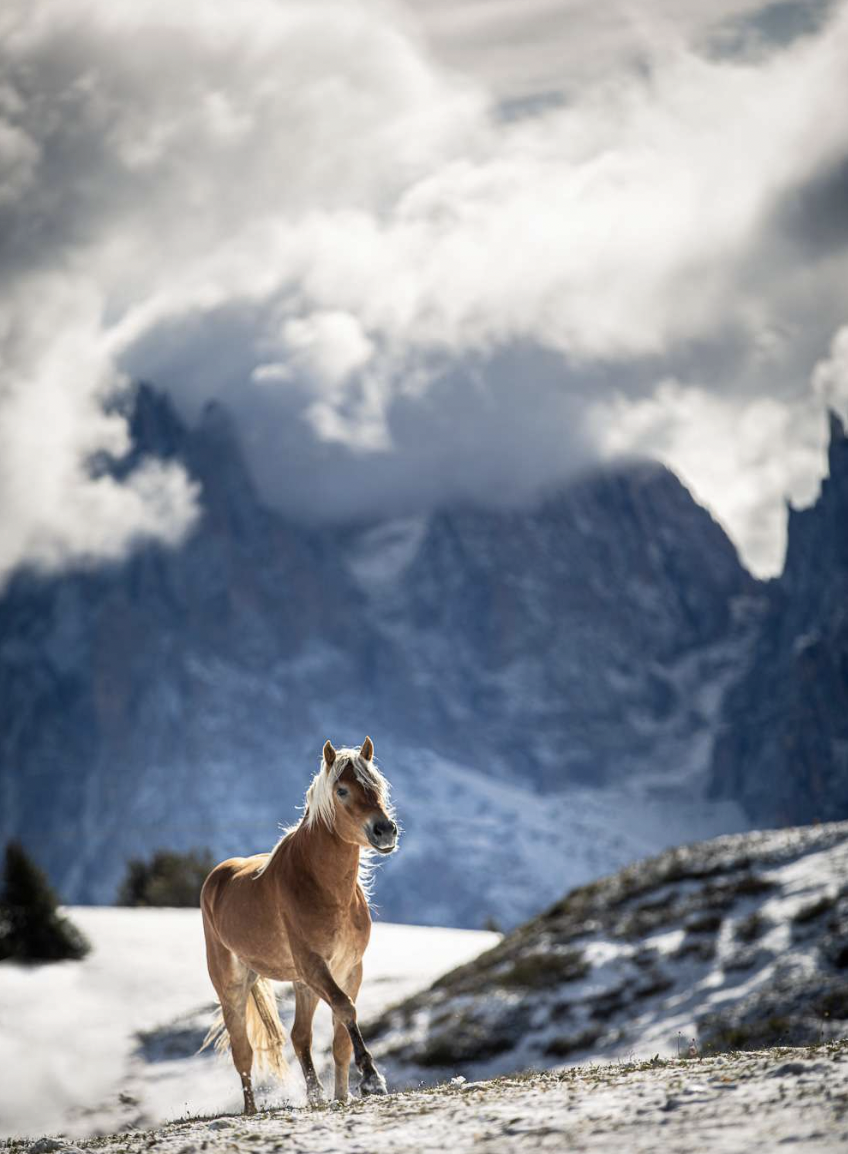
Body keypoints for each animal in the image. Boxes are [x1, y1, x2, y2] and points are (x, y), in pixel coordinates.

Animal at [200, 736, 399, 1114]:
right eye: (342, 790)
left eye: (378, 785)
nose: (384, 830)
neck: (320, 885)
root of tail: (217, 878)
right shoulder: (314, 966)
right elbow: (345, 1009)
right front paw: (371, 1078)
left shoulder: (349, 968)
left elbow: (340, 1036)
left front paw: (343, 1094)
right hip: (233, 987)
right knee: (243, 1051)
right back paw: (251, 1109)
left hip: (302, 985)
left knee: (298, 1036)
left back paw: (316, 1094)